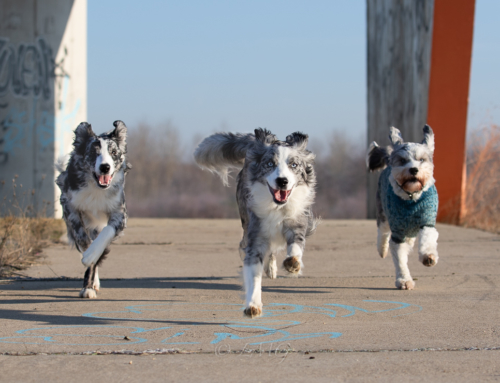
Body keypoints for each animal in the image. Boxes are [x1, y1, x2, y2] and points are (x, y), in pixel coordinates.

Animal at [56, 121, 131, 298]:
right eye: (93, 152)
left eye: (113, 152)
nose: (105, 167)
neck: (97, 188)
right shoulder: (70, 207)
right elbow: (83, 240)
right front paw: (88, 284)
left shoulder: (119, 212)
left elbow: (105, 235)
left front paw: (91, 254)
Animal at [194, 129, 316, 318]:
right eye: (269, 164)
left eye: (294, 165)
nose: (282, 181)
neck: (276, 206)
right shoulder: (255, 235)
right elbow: (254, 275)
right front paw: (253, 305)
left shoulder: (297, 222)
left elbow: (295, 245)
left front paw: (292, 263)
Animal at [366, 126, 440, 292]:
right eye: (403, 161)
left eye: (421, 159)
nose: (413, 169)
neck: (411, 198)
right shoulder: (398, 231)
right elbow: (400, 258)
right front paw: (404, 280)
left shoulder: (427, 218)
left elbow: (427, 237)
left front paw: (428, 257)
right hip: (383, 211)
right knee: (383, 232)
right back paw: (382, 249)